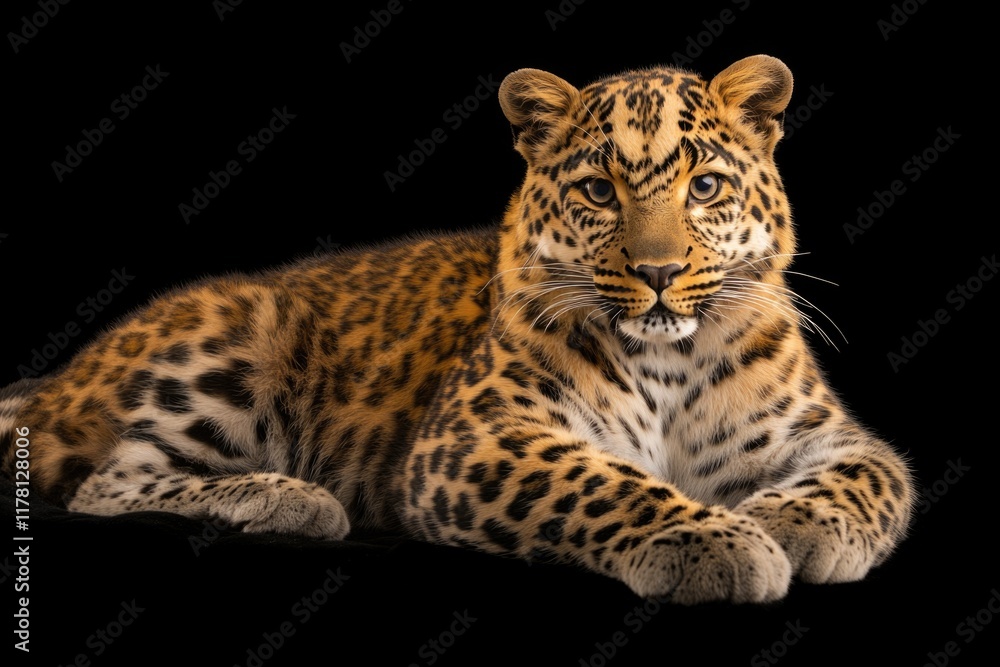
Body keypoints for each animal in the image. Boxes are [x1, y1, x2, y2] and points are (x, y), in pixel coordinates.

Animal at [0, 55, 913, 604]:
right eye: (598, 192)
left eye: (707, 187)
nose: (657, 272)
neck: (671, 360)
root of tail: (63, 376)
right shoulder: (474, 437)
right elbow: (600, 480)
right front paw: (716, 538)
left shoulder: (830, 436)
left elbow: (869, 478)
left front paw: (788, 523)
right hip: (231, 338)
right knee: (104, 483)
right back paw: (289, 496)